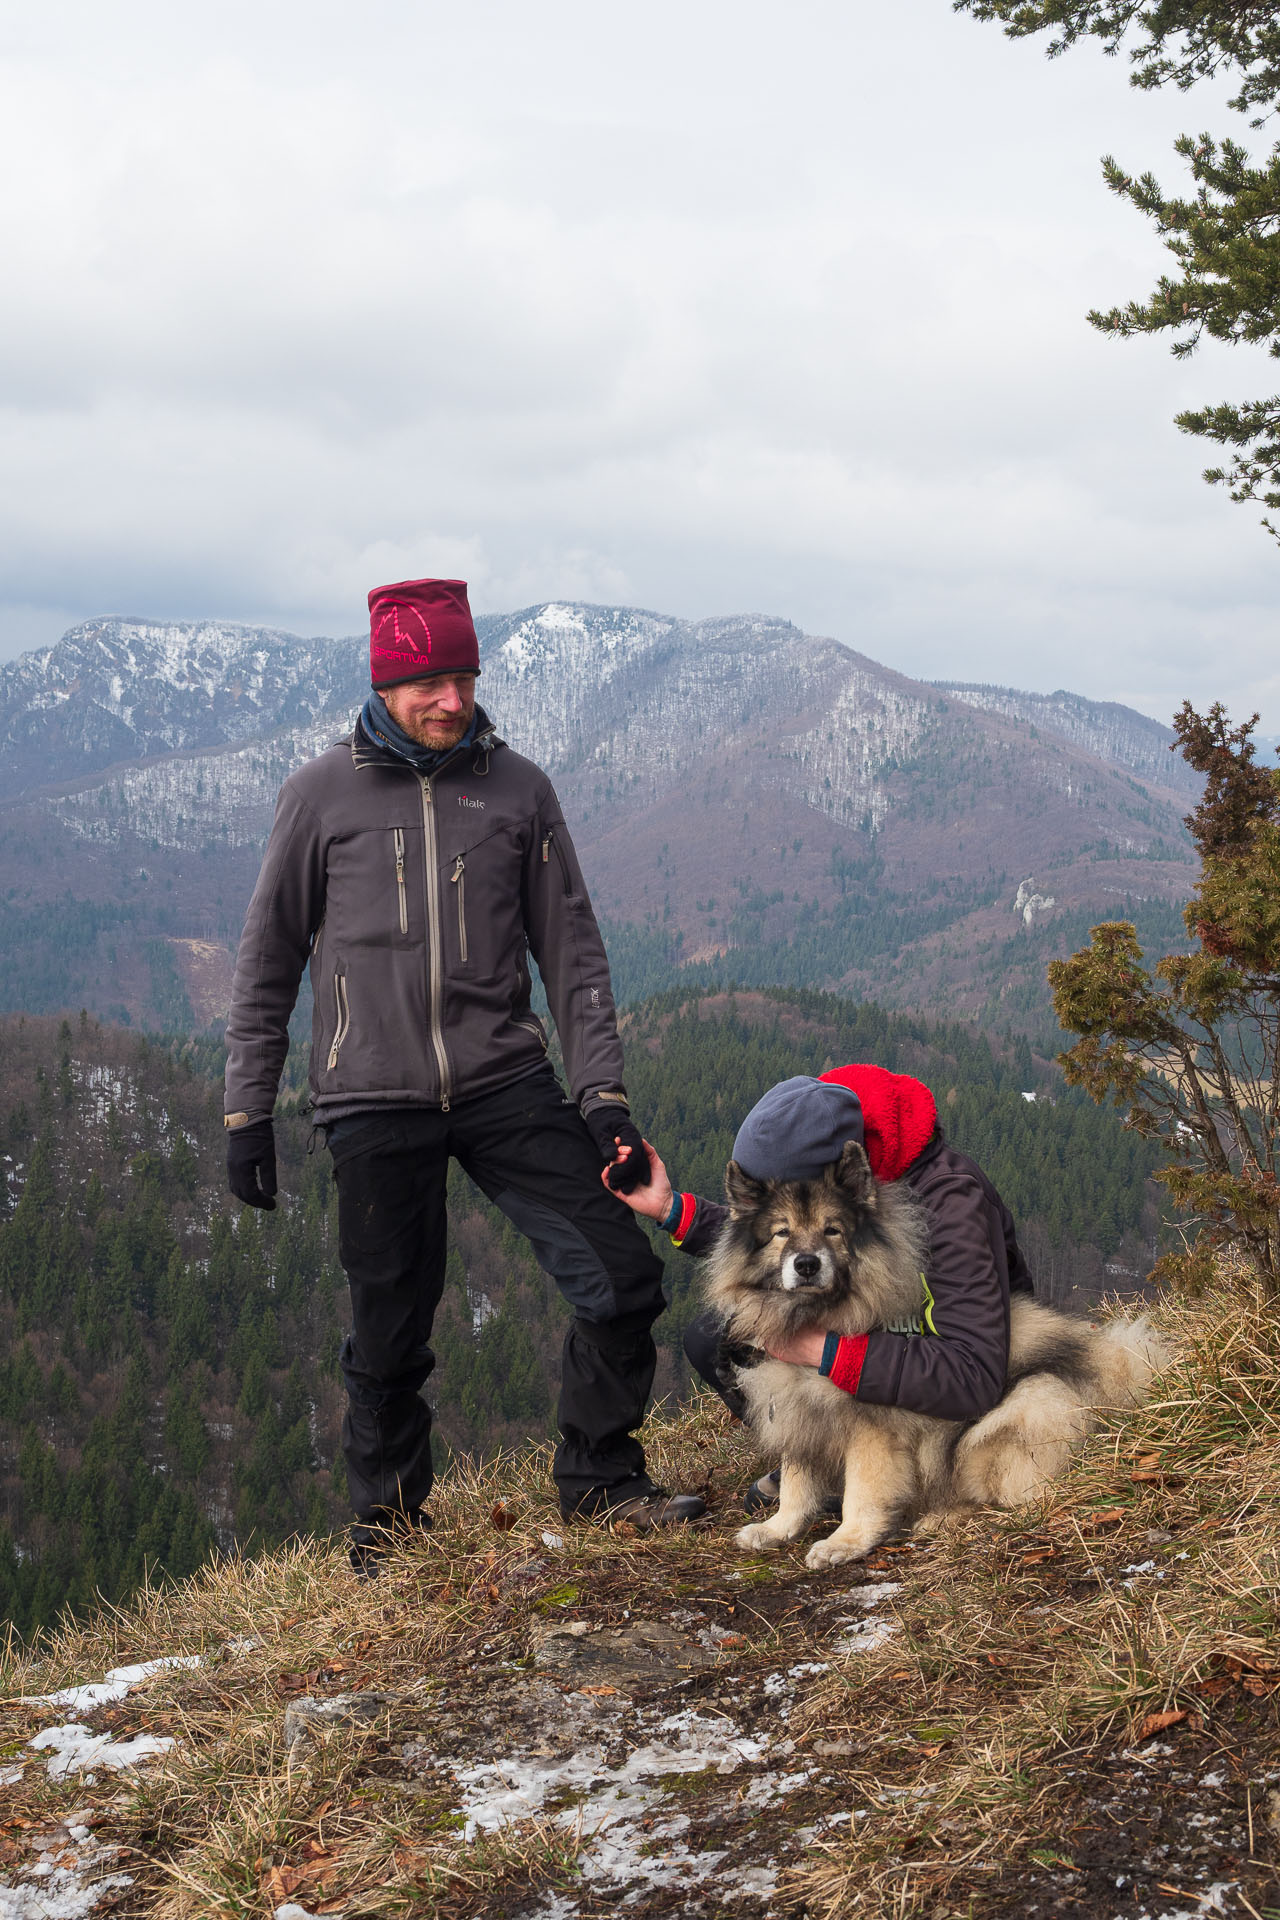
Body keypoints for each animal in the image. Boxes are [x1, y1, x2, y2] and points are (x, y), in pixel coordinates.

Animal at [710, 1144, 1174, 1566]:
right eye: (782, 1232)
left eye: (832, 1230)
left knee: (1028, 1500)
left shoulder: (872, 1428)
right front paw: (778, 1529)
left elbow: (861, 1492)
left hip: (1025, 1410)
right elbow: (796, 1484)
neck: (818, 1316)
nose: (806, 1264)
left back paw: (948, 1517)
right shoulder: (794, 1410)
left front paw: (845, 1541)